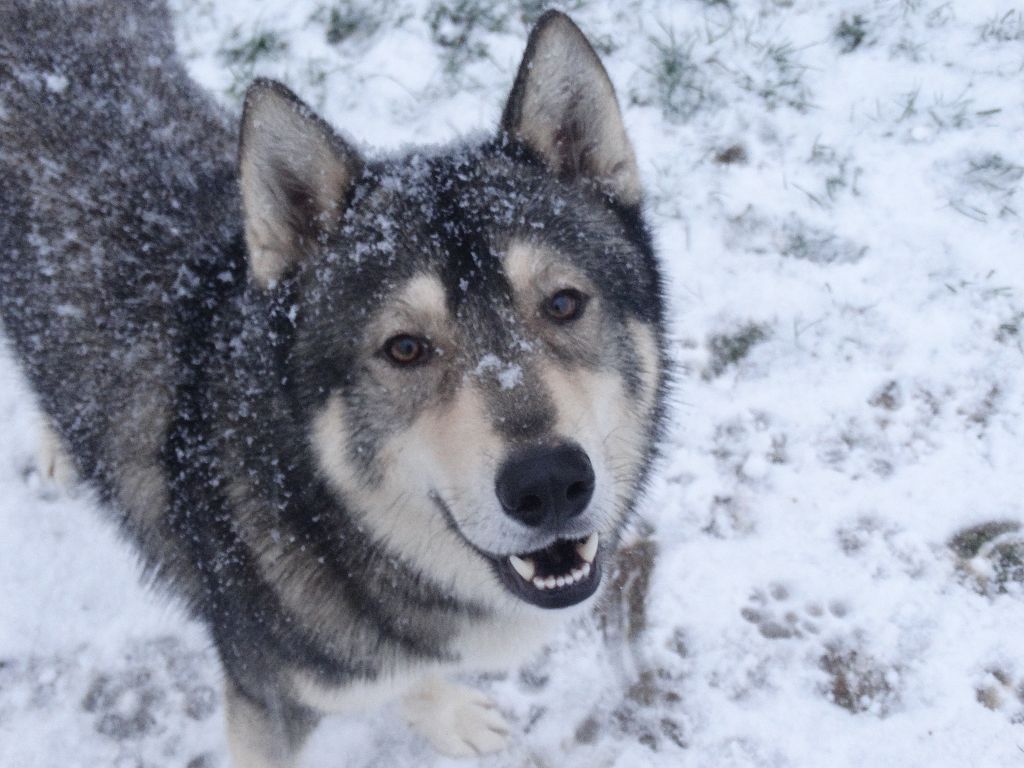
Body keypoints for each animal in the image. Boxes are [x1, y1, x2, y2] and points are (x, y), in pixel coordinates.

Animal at [0, 3, 667, 765]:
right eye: (404, 348)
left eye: (562, 303)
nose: (550, 483)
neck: (320, 510)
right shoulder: (263, 700)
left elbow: (406, 675)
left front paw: (445, 714)